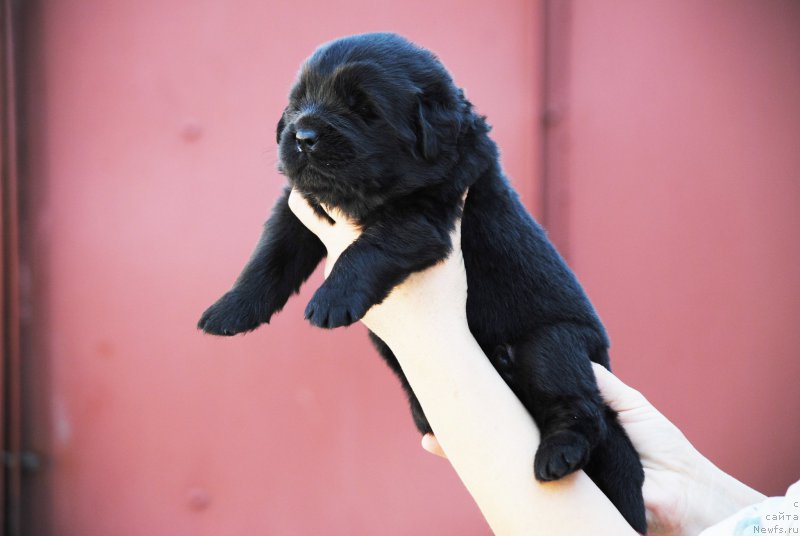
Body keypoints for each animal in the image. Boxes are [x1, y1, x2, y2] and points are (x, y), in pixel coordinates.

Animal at [198, 32, 644, 532]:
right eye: (298, 103)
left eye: (365, 109)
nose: (302, 136)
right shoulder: (298, 206)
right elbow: (270, 254)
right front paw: (230, 310)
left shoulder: (424, 216)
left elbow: (368, 247)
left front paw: (331, 298)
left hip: (553, 342)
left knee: (580, 407)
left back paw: (559, 454)